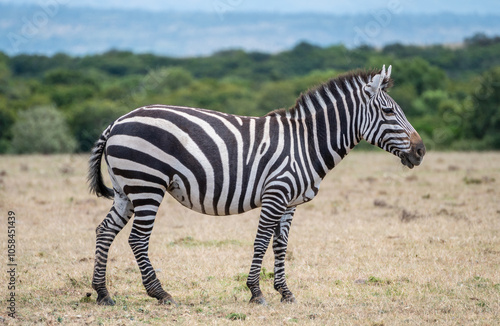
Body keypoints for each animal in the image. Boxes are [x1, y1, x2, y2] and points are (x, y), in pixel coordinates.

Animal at [88, 64, 424, 306]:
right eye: (389, 111)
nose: (421, 151)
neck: (306, 143)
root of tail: (117, 122)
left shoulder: (290, 202)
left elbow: (281, 245)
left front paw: (285, 292)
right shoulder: (276, 193)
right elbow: (261, 242)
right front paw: (256, 292)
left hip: (125, 190)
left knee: (104, 231)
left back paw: (103, 294)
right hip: (147, 184)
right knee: (137, 239)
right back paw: (160, 293)